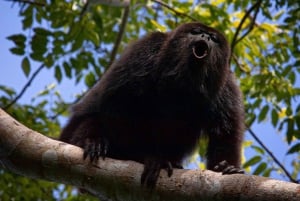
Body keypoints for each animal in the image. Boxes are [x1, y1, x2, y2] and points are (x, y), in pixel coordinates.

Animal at [59, 22, 245, 188]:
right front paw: (148, 158)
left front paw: (225, 167)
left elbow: (225, 132)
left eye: (213, 38)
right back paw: (92, 142)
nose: (205, 37)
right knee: (94, 118)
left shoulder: (227, 85)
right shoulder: (146, 49)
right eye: (196, 31)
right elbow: (118, 103)